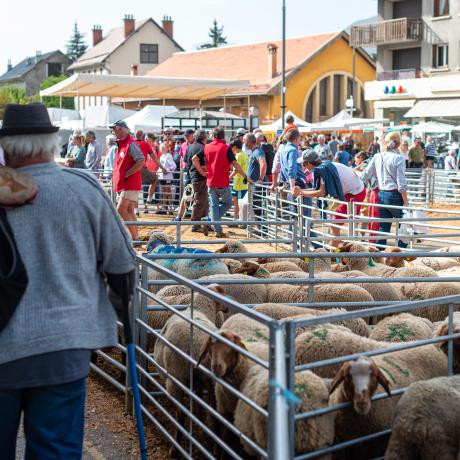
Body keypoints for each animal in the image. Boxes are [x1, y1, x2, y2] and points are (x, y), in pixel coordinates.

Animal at [198, 330, 334, 456]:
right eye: (210, 347)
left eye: (230, 347)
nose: (216, 367)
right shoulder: (224, 410)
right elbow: (223, 436)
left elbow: (227, 438)